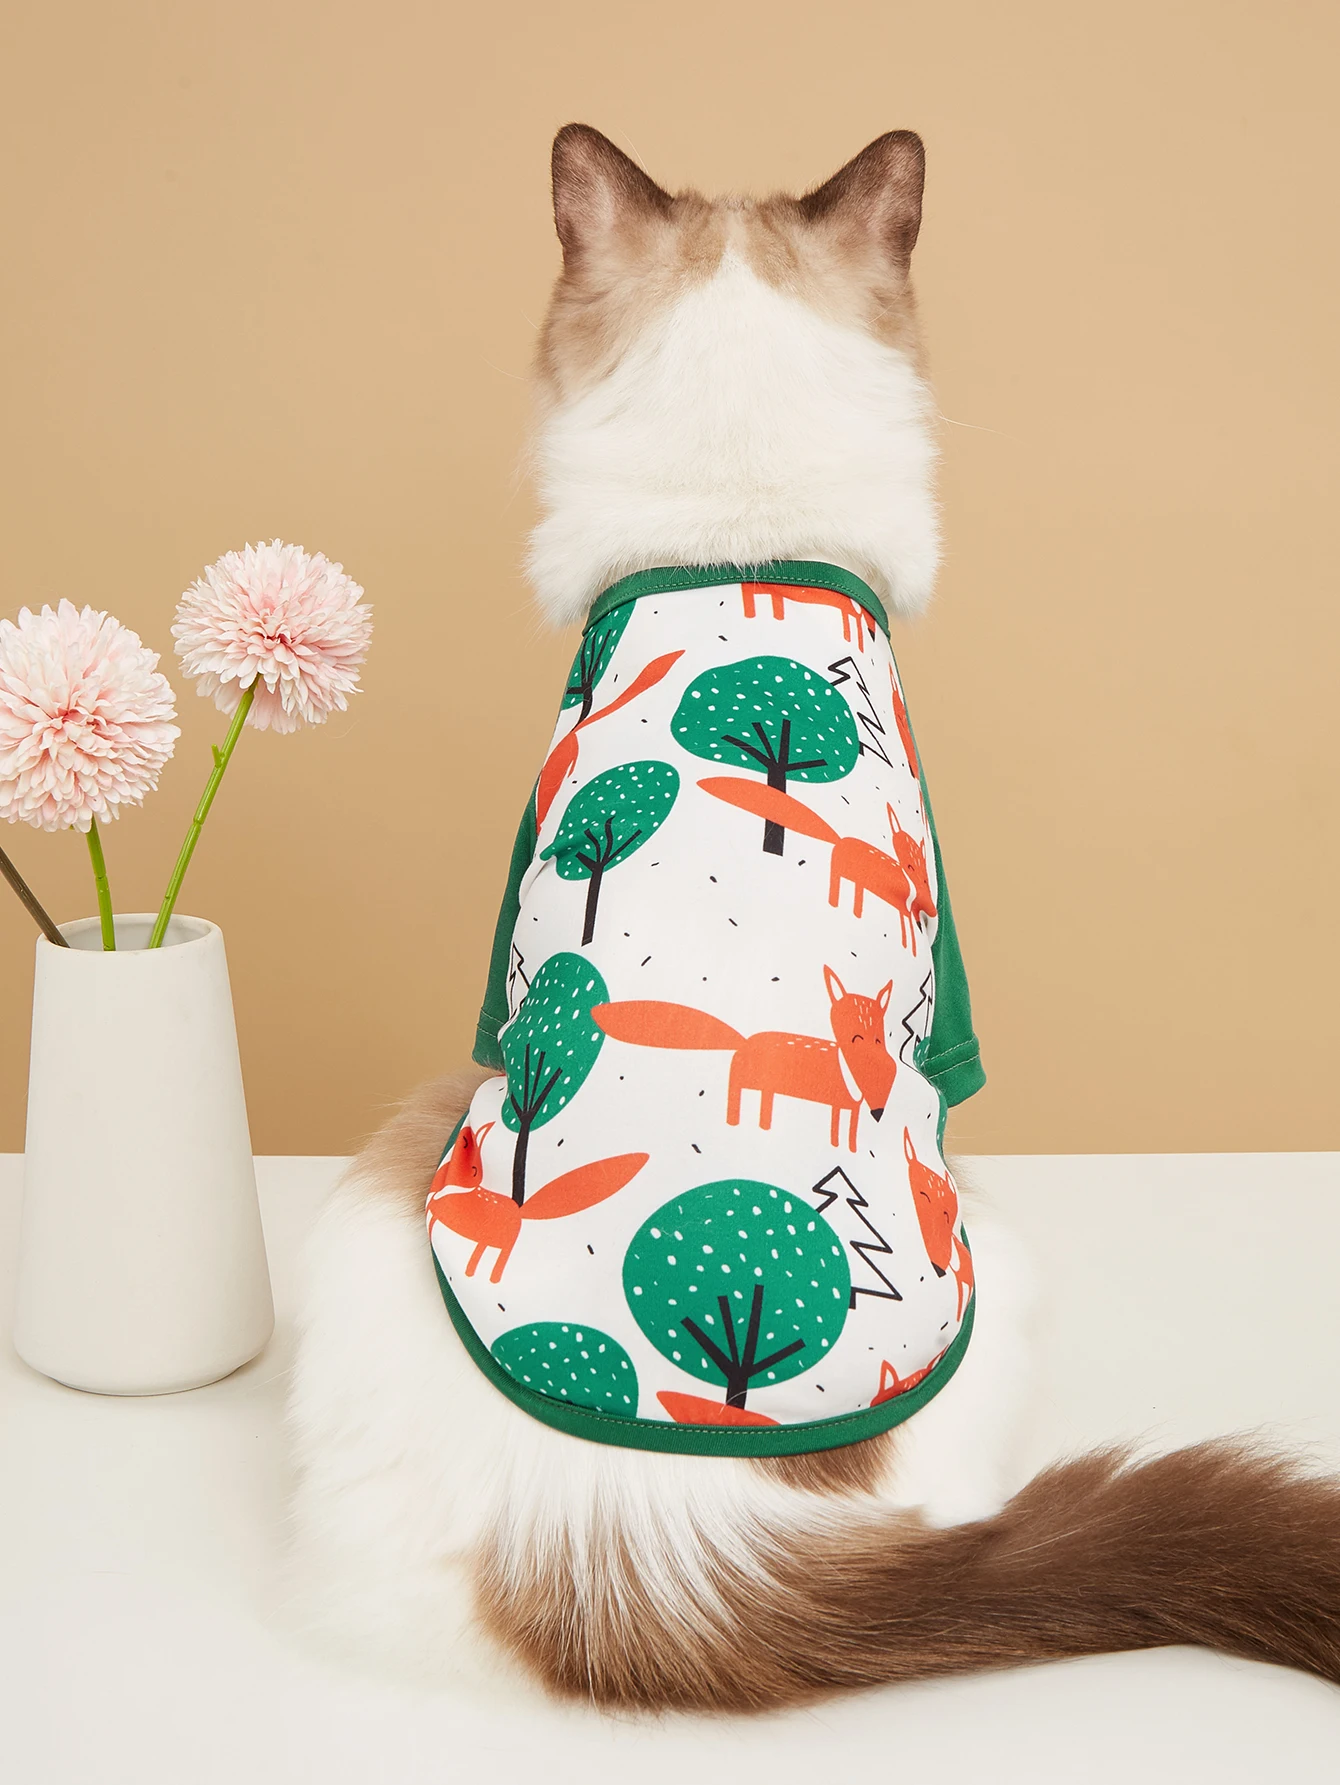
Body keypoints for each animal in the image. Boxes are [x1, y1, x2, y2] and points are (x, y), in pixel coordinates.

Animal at [591, 965, 896, 1151]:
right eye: (852, 1036)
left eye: (879, 1038)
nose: (878, 1111)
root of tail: (745, 1040)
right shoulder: (838, 1102)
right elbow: (837, 1129)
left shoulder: (847, 1107)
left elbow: (846, 1131)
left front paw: (846, 1146)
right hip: (747, 1085)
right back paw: (742, 1125)